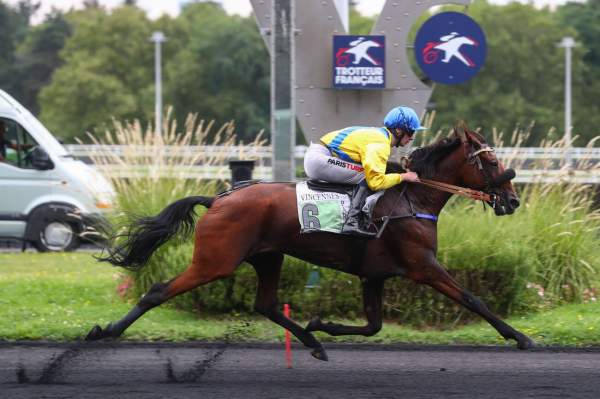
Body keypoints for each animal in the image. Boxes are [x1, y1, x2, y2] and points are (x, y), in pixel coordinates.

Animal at [85, 127, 536, 360]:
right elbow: (474, 299)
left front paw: (322, 324)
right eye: (491, 161)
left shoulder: (374, 276)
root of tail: (218, 199)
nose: (513, 200)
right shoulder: (423, 266)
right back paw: (104, 331)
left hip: (268, 257)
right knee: (159, 291)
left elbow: (373, 325)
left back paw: (313, 341)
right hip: (216, 260)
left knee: (266, 305)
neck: (414, 198)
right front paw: (521, 338)